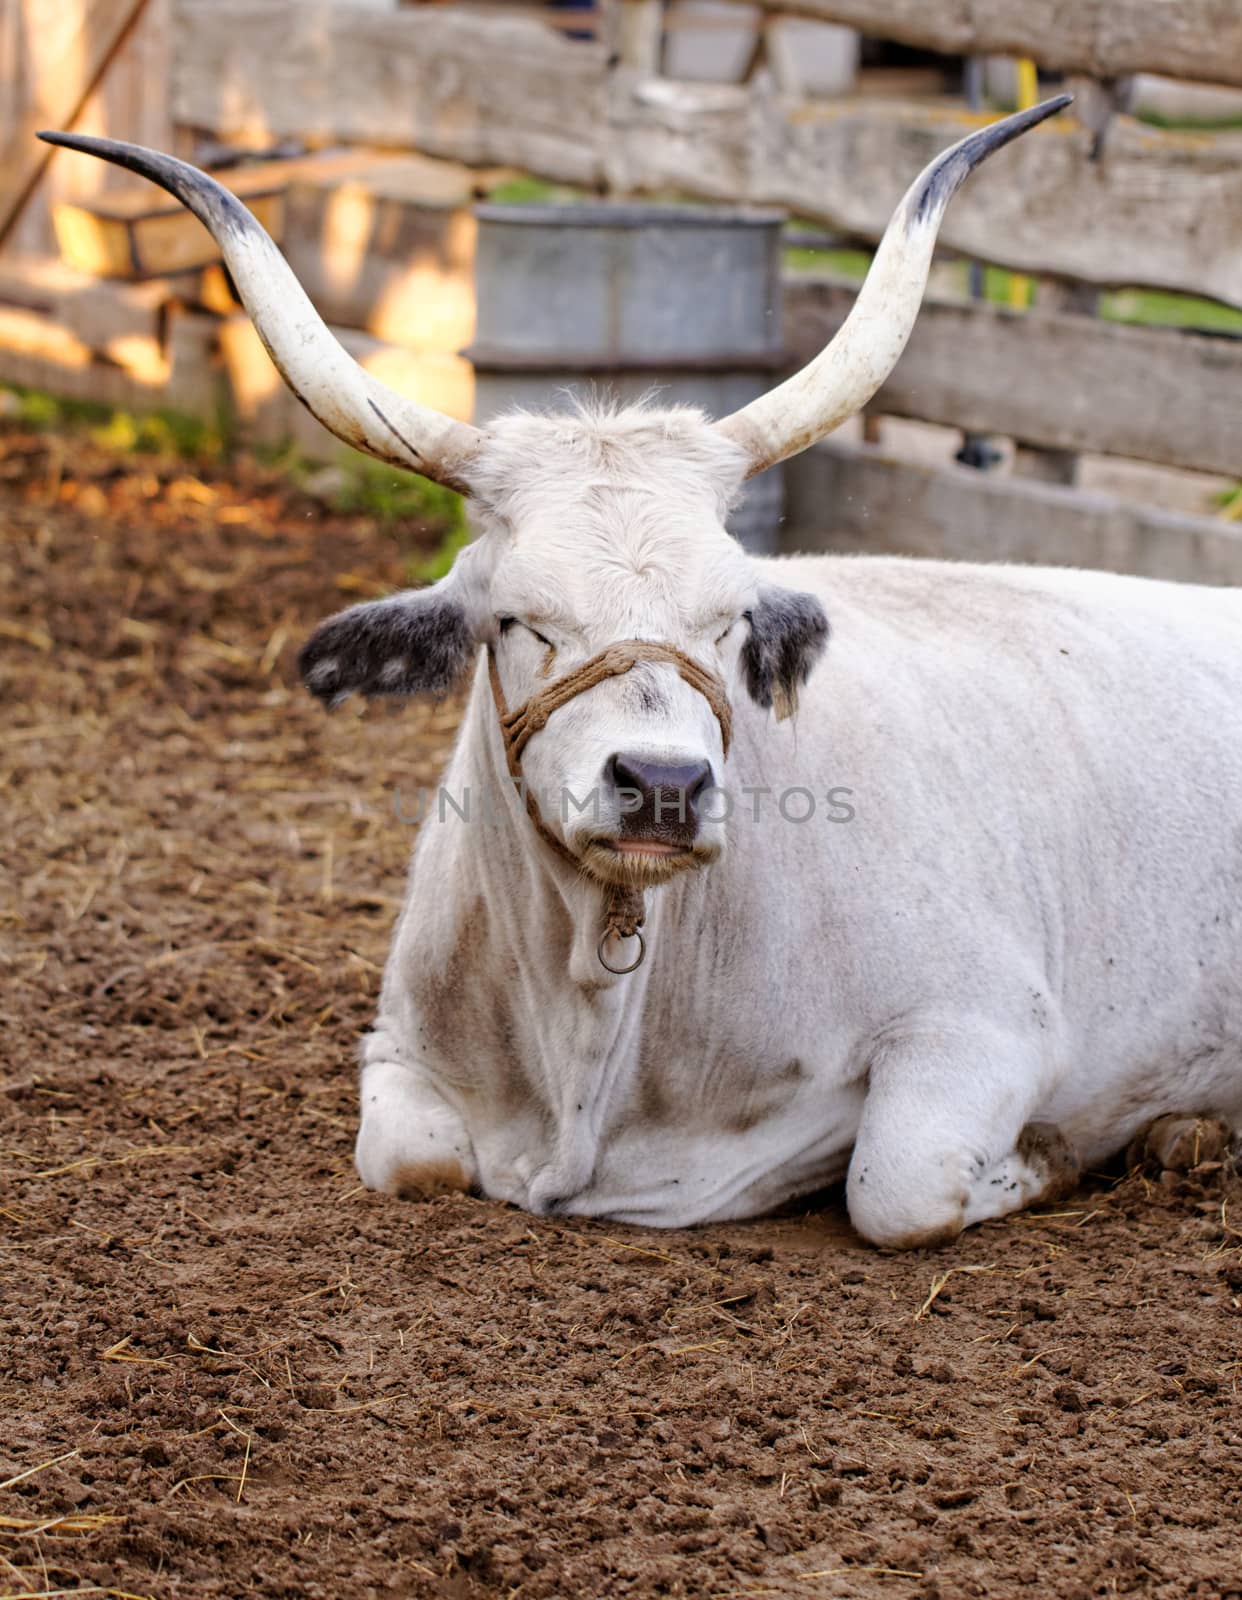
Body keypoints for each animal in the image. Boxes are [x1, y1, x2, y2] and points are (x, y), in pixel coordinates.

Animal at [43, 103, 1235, 1248]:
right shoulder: (397, 1051)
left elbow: (897, 1186)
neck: (589, 1045)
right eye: (518, 619)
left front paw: (1052, 1155)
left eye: (730, 619)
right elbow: (411, 1160)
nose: (664, 786)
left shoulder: (983, 1025)